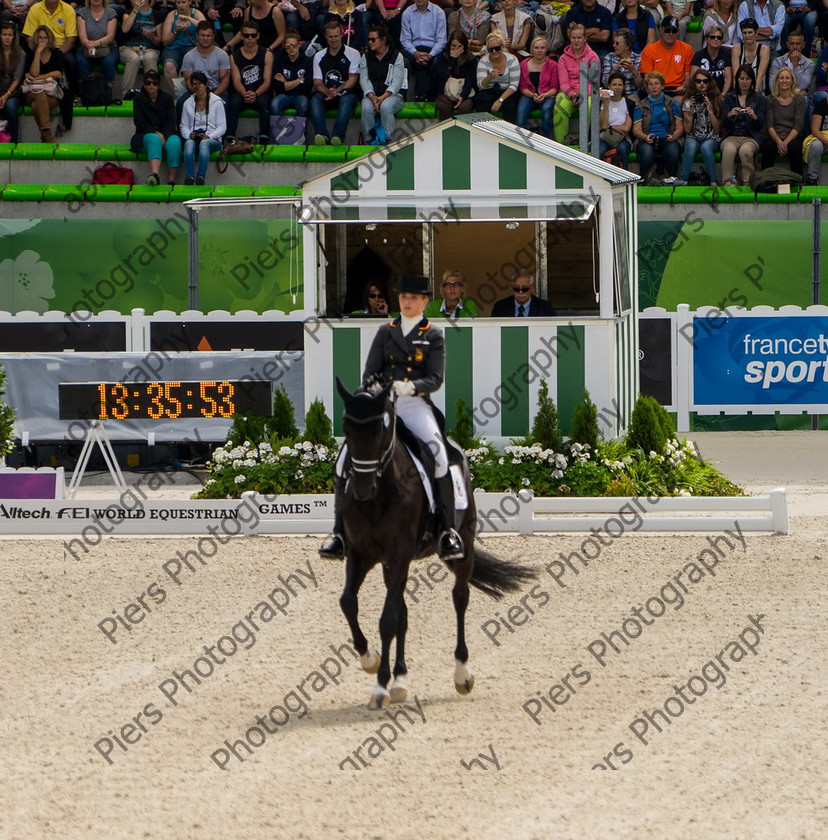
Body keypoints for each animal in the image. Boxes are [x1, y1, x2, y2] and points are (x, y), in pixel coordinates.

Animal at [336, 380, 536, 708]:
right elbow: (350, 603)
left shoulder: (399, 553)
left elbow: (387, 619)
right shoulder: (361, 554)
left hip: (462, 547)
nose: (362, 489)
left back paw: (461, 675)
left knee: (460, 598)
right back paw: (400, 681)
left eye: (380, 430)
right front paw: (371, 661)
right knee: (403, 611)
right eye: (346, 430)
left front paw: (379, 685)